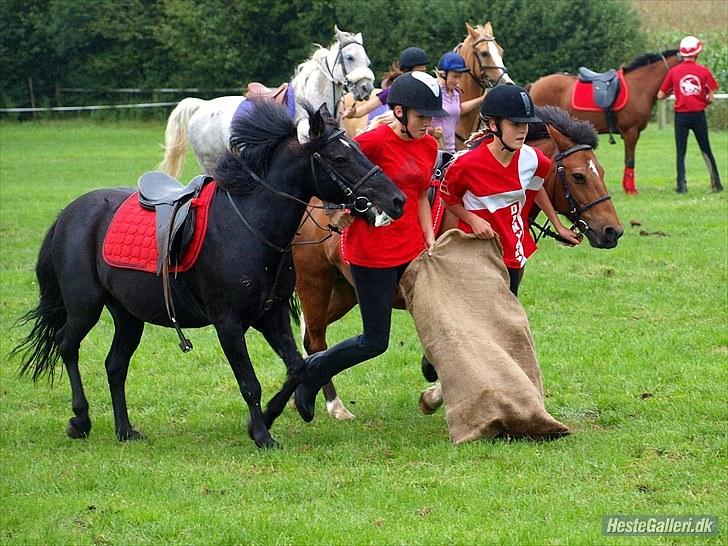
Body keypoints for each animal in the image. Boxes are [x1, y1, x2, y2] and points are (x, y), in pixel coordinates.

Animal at [11, 99, 406, 446]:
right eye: (340, 157)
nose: (396, 199)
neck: (250, 227)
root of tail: (69, 213)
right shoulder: (228, 324)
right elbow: (250, 383)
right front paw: (262, 434)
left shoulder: (272, 315)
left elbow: (297, 367)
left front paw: (274, 416)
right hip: (85, 306)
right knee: (67, 345)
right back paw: (80, 419)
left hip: (127, 315)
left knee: (115, 365)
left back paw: (125, 430)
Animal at [292, 107, 624, 420]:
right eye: (579, 176)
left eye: (601, 171)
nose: (613, 231)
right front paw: (434, 392)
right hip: (315, 284)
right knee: (317, 340)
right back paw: (333, 405)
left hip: (345, 291)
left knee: (311, 339)